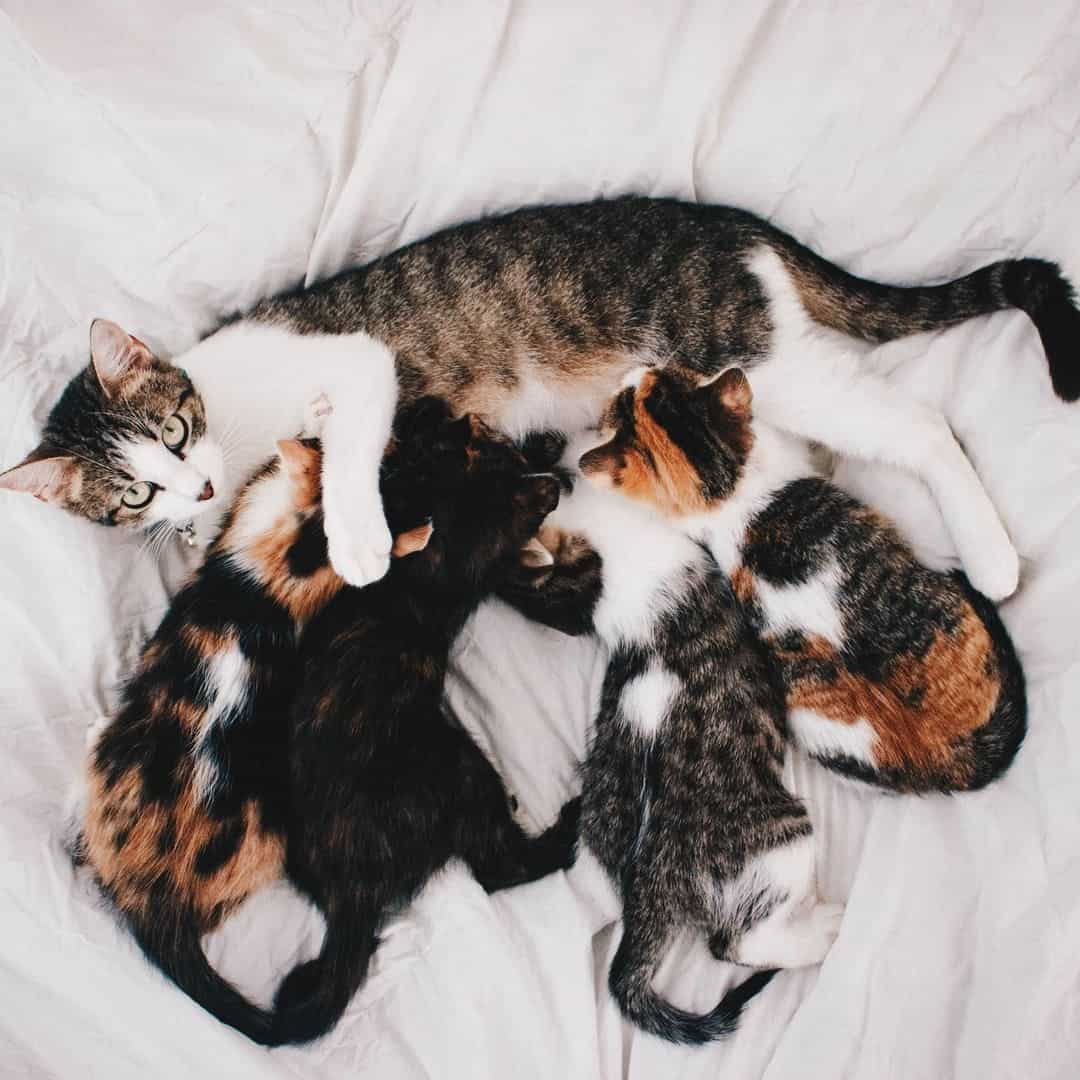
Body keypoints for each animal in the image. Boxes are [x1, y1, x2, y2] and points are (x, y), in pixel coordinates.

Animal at [4, 195, 1075, 600]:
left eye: (176, 429)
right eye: (133, 492)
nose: (189, 493)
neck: (231, 421)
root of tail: (731, 222)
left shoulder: (358, 363)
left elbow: (350, 442)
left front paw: (357, 540)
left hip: (761, 358)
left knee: (919, 423)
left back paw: (988, 554)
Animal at [276, 403, 583, 1045]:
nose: (548, 482)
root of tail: (350, 888)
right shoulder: (471, 556)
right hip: (463, 768)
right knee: (498, 867)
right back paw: (568, 824)